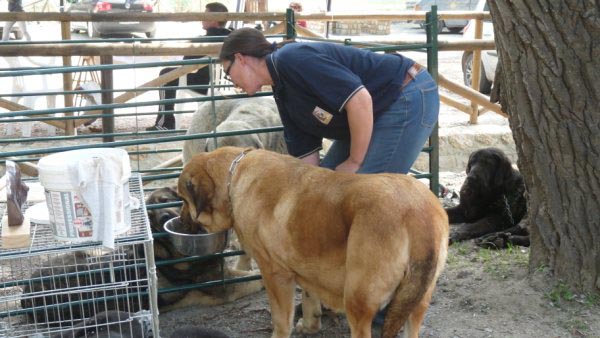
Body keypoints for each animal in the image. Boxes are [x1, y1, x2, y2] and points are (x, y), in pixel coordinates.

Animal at [178, 147, 450, 338]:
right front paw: (310, 326)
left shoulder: (275, 274)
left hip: (358, 300)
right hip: (417, 301)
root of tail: (418, 215)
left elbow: (280, 319)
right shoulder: (305, 268)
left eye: (182, 198)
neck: (234, 176)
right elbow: (309, 298)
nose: (180, 222)